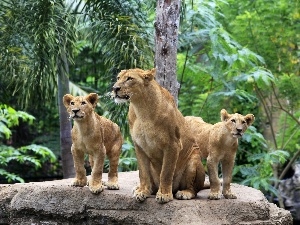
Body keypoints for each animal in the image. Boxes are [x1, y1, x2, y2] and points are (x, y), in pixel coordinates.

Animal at [111, 67, 205, 203]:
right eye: (118, 78)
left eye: (129, 78)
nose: (115, 88)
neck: (141, 108)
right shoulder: (139, 146)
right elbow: (143, 173)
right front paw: (142, 191)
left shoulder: (173, 145)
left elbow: (166, 172)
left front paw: (164, 195)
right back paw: (142, 189)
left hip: (194, 159)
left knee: (194, 189)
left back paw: (184, 193)